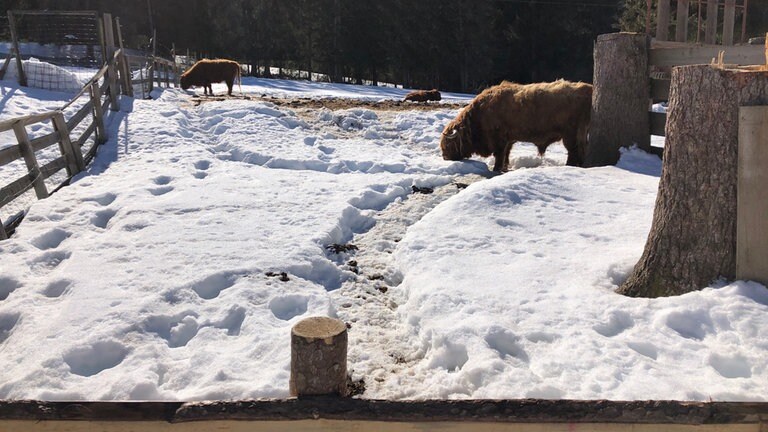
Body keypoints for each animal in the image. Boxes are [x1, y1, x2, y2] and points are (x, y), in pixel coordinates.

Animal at [438, 80, 592, 171]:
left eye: (448, 143)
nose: (445, 157)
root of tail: (589, 88)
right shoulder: (509, 139)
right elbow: (507, 153)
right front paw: (505, 167)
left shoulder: (499, 140)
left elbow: (500, 154)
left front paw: (497, 169)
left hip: (571, 134)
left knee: (573, 151)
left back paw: (569, 166)